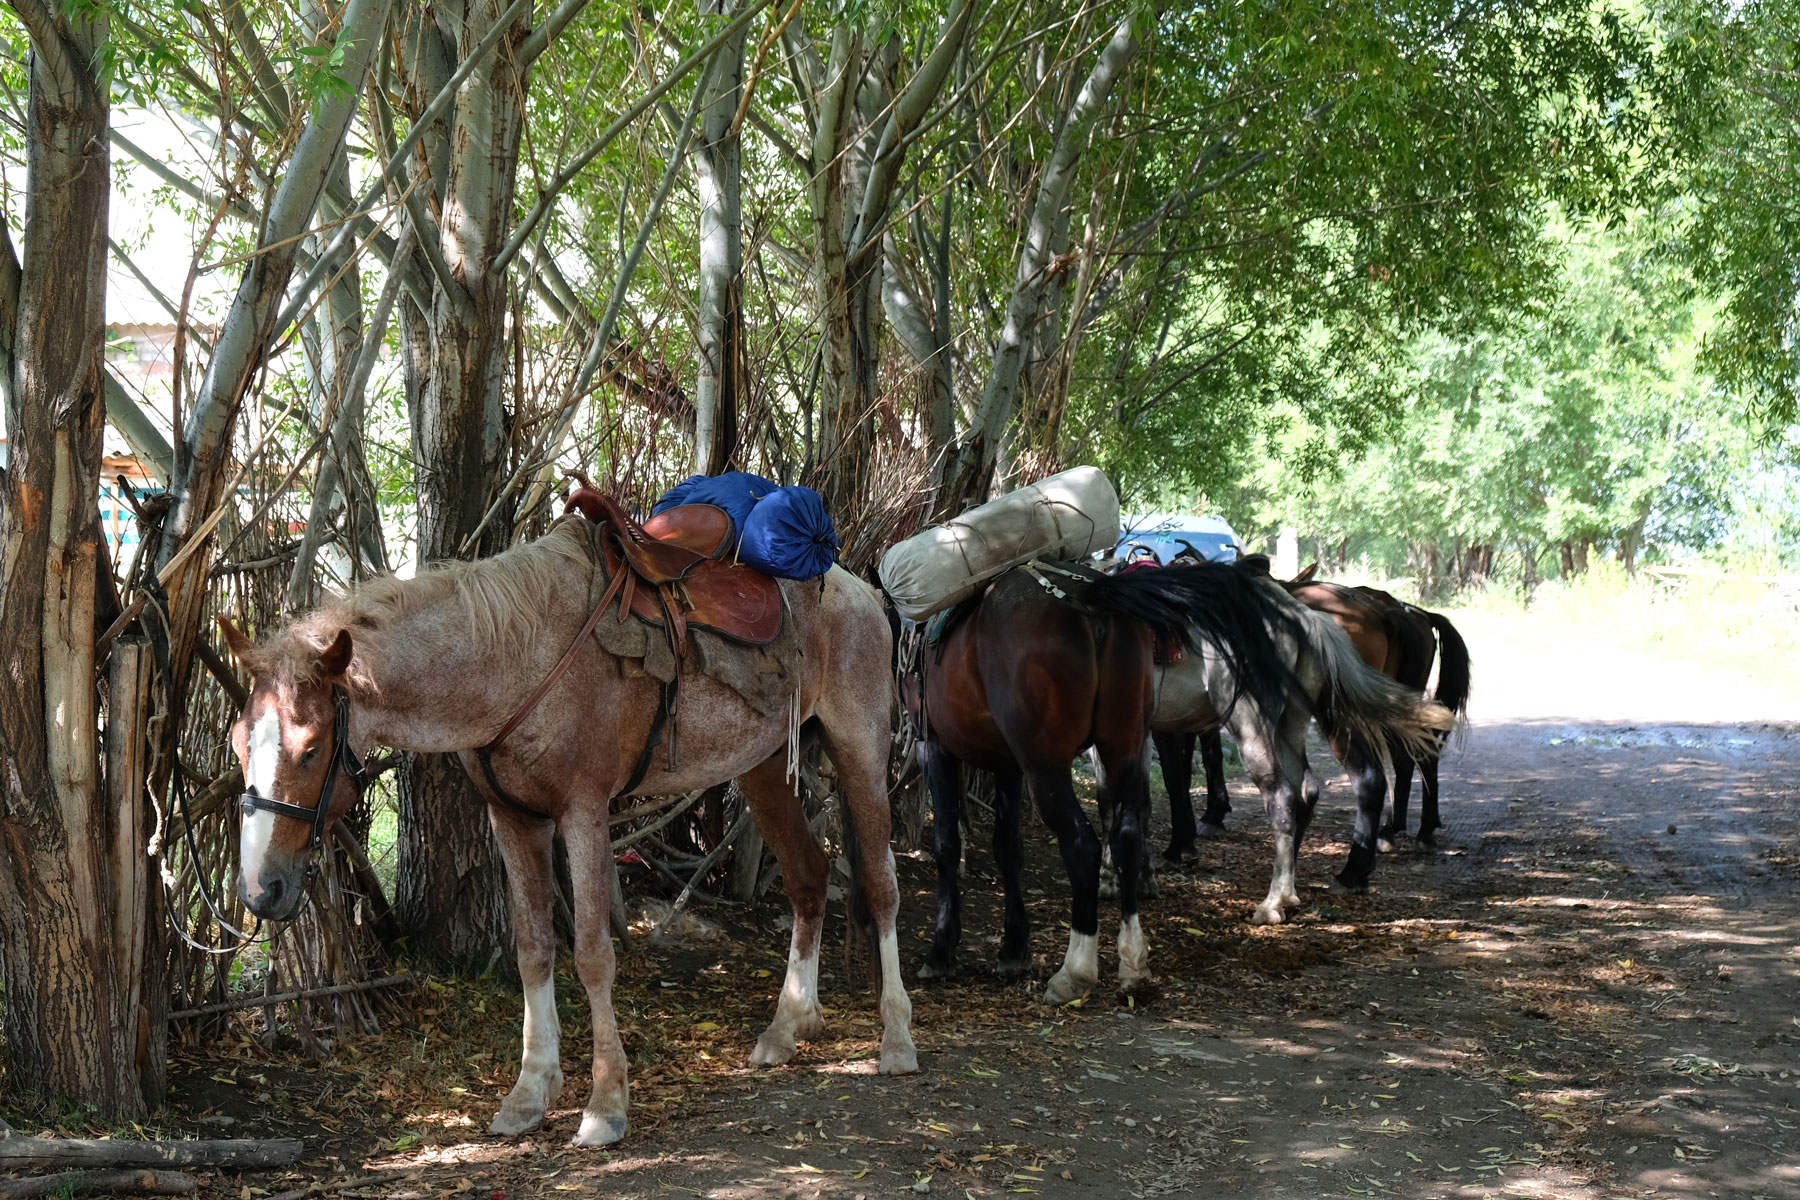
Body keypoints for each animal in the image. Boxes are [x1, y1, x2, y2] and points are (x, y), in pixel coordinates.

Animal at [221, 510, 914, 1151]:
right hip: (764, 767)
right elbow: (533, 948)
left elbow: (592, 954)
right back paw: (787, 1026)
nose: (260, 890)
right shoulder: (514, 820)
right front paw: (529, 1092)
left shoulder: (583, 812)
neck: (516, 659)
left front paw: (605, 1104)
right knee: (808, 877)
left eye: (311, 749)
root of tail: (856, 588)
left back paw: (897, 1039)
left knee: (882, 887)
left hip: (860, 745)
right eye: (236, 742)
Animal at [907, 557, 1303, 1000]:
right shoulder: (1007, 761)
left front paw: (942, 951)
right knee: (1129, 833)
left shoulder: (934, 746)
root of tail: (1091, 597)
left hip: (1048, 764)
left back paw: (1075, 969)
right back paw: (1134, 959)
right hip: (1124, 743)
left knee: (1083, 845)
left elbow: (947, 843)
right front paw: (1013, 949)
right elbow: (1008, 847)